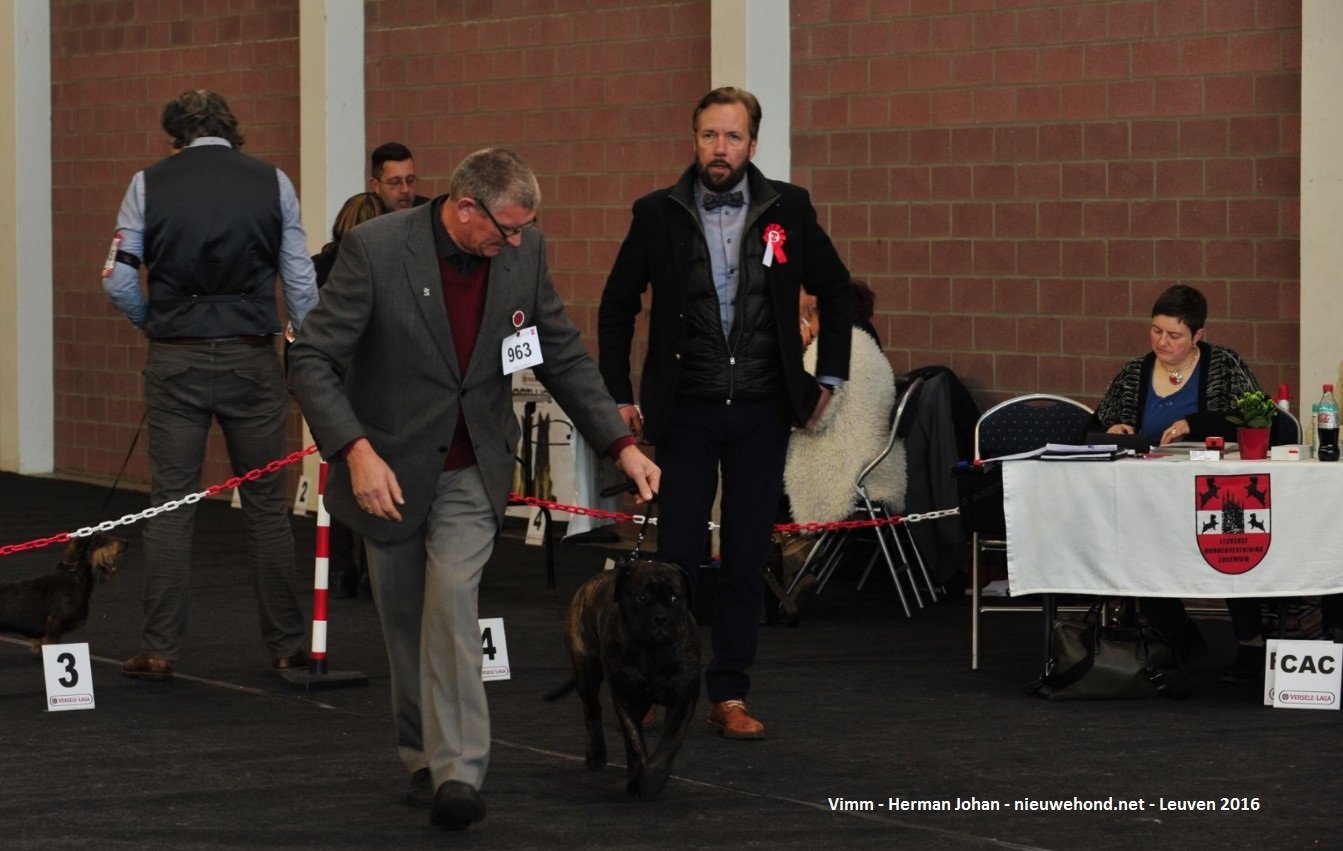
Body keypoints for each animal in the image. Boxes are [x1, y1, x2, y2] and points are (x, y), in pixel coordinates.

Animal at [553, 561, 703, 799]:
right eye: (642, 597)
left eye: (674, 597)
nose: (660, 618)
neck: (653, 652)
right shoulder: (627, 699)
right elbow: (635, 743)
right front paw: (640, 780)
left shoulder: (682, 701)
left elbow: (667, 744)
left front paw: (652, 778)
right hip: (587, 673)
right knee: (592, 710)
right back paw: (596, 755)